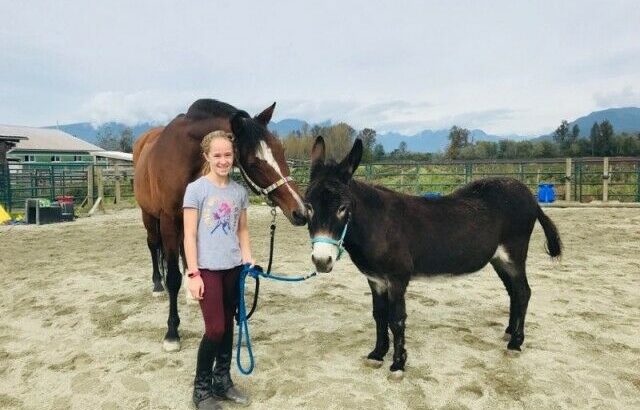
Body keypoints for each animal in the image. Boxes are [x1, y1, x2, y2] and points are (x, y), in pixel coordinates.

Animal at [133, 97, 308, 350]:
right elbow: (172, 277)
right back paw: (157, 285)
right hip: (149, 215)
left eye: (281, 150)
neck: (182, 156)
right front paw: (172, 333)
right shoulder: (168, 219)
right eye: (254, 162)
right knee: (153, 244)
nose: (302, 211)